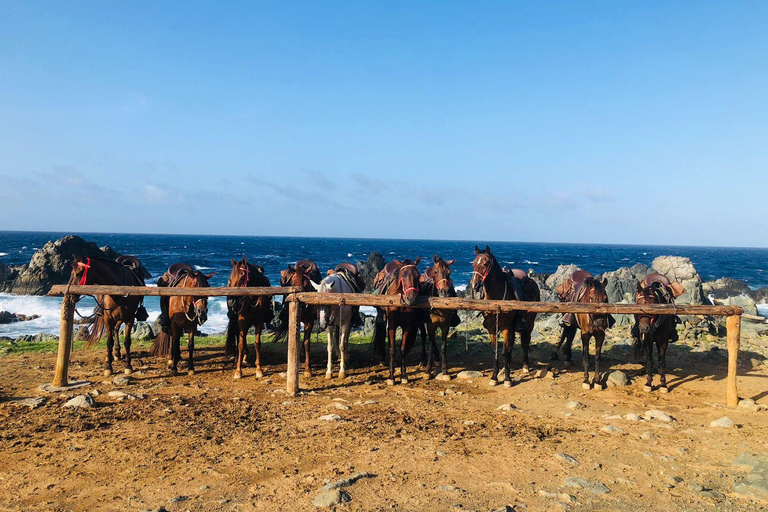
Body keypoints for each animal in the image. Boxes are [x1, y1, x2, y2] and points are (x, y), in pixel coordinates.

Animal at [472, 246, 544, 386]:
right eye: (473, 263)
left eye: (485, 264)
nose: (474, 285)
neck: (496, 300)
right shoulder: (492, 328)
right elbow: (495, 352)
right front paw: (494, 377)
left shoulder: (506, 328)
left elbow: (504, 353)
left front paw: (507, 379)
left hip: (529, 323)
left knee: (525, 342)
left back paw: (525, 366)